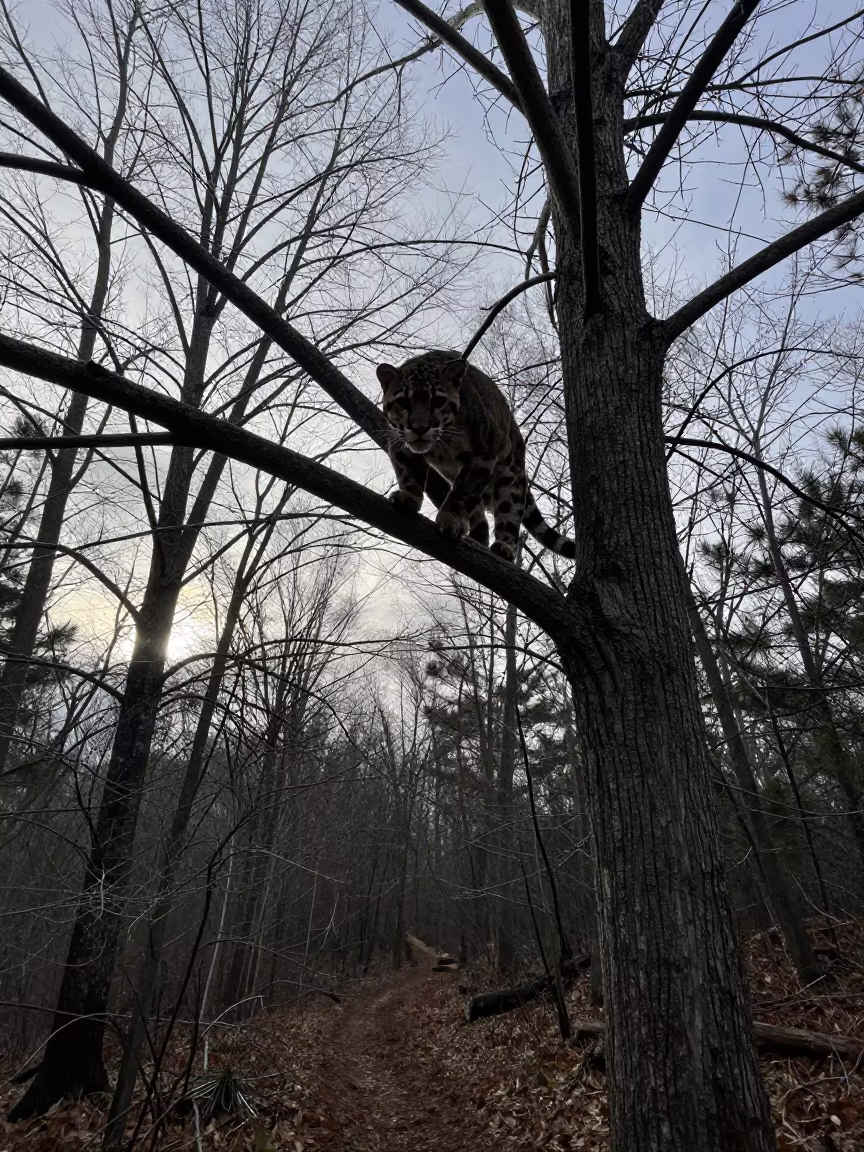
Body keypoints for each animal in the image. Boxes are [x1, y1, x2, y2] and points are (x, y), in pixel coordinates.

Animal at [376, 349, 575, 562]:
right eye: (403, 402)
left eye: (438, 401)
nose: (420, 428)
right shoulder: (400, 445)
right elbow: (409, 474)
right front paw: (408, 497)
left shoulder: (483, 453)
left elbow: (461, 494)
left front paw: (450, 519)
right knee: (481, 518)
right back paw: (474, 535)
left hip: (510, 478)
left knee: (509, 513)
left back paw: (504, 547)